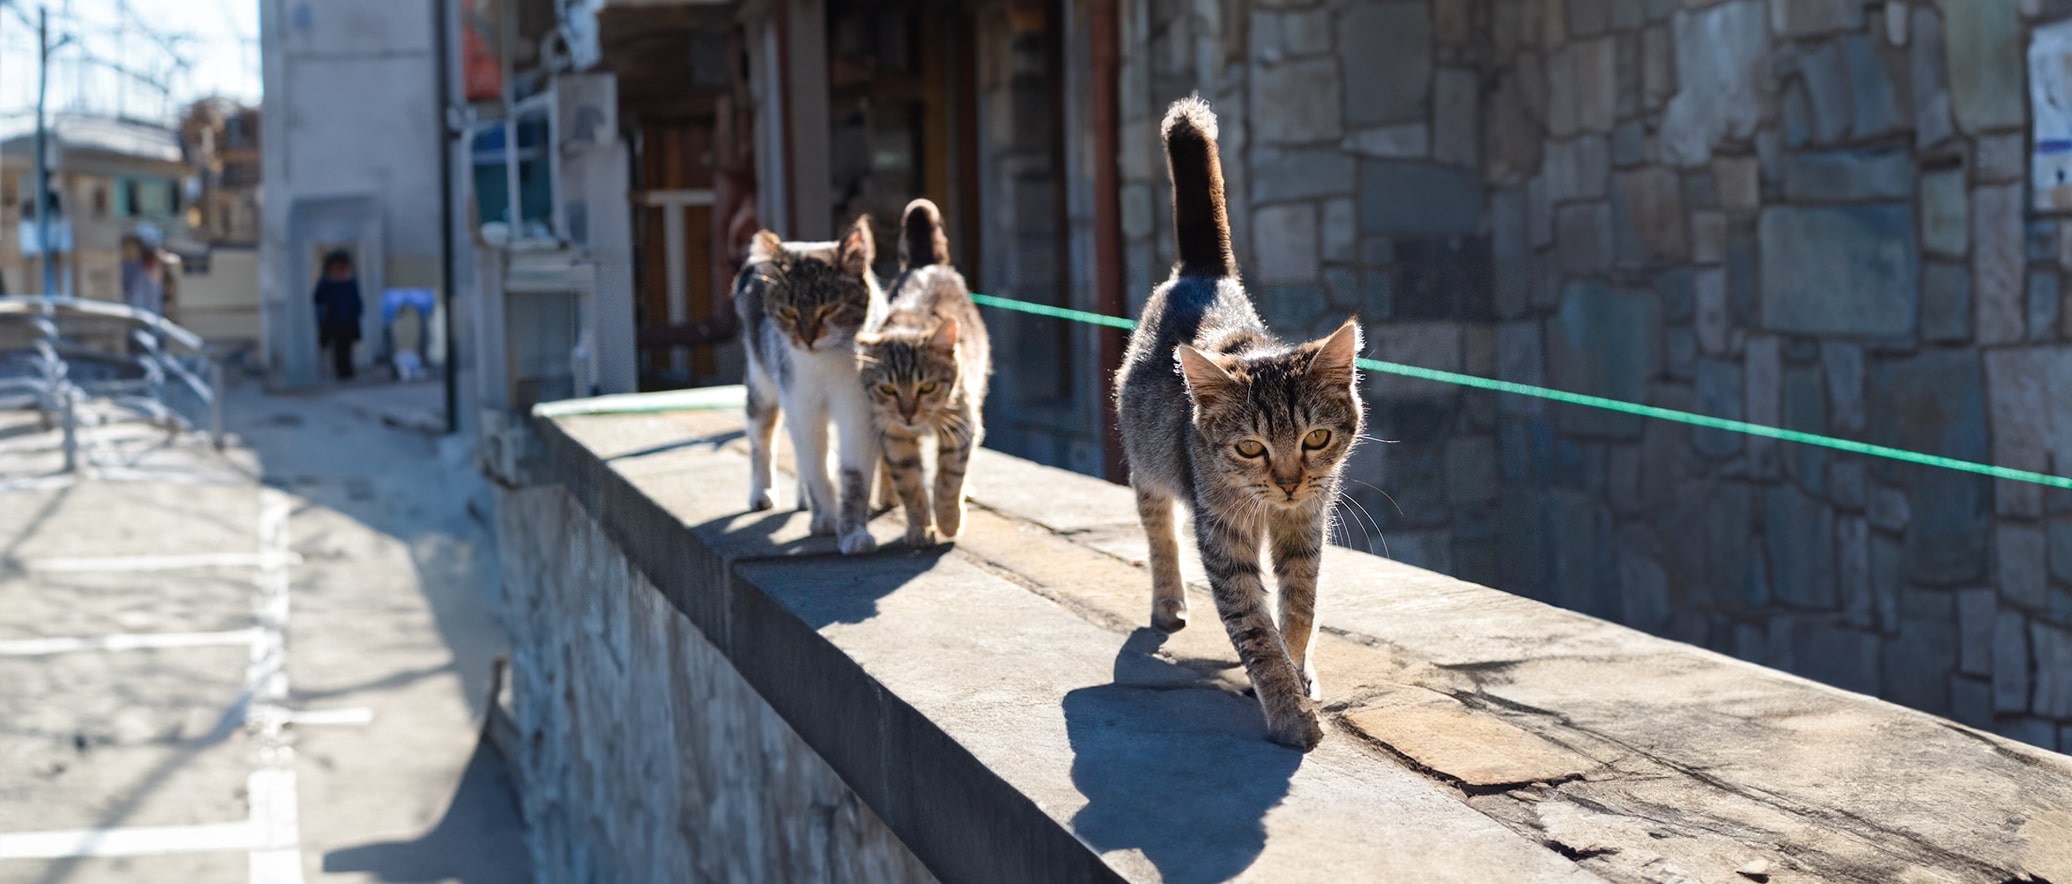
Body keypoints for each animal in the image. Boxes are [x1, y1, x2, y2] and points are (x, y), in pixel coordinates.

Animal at [737, 215, 882, 558]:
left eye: (829, 309)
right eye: (788, 312)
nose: (807, 338)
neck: (826, 362)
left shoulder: (859, 410)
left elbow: (853, 475)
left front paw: (853, 532)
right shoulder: (800, 404)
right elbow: (815, 465)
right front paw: (826, 518)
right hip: (763, 382)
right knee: (762, 437)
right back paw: (762, 491)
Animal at [1110, 96, 1367, 749]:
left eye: (1316, 438)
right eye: (1250, 448)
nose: (1288, 482)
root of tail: (1204, 272)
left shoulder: (1308, 521)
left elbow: (1299, 608)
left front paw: (1299, 670)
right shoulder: (1223, 535)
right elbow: (1254, 628)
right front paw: (1285, 708)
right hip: (1149, 463)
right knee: (1158, 530)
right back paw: (1168, 601)